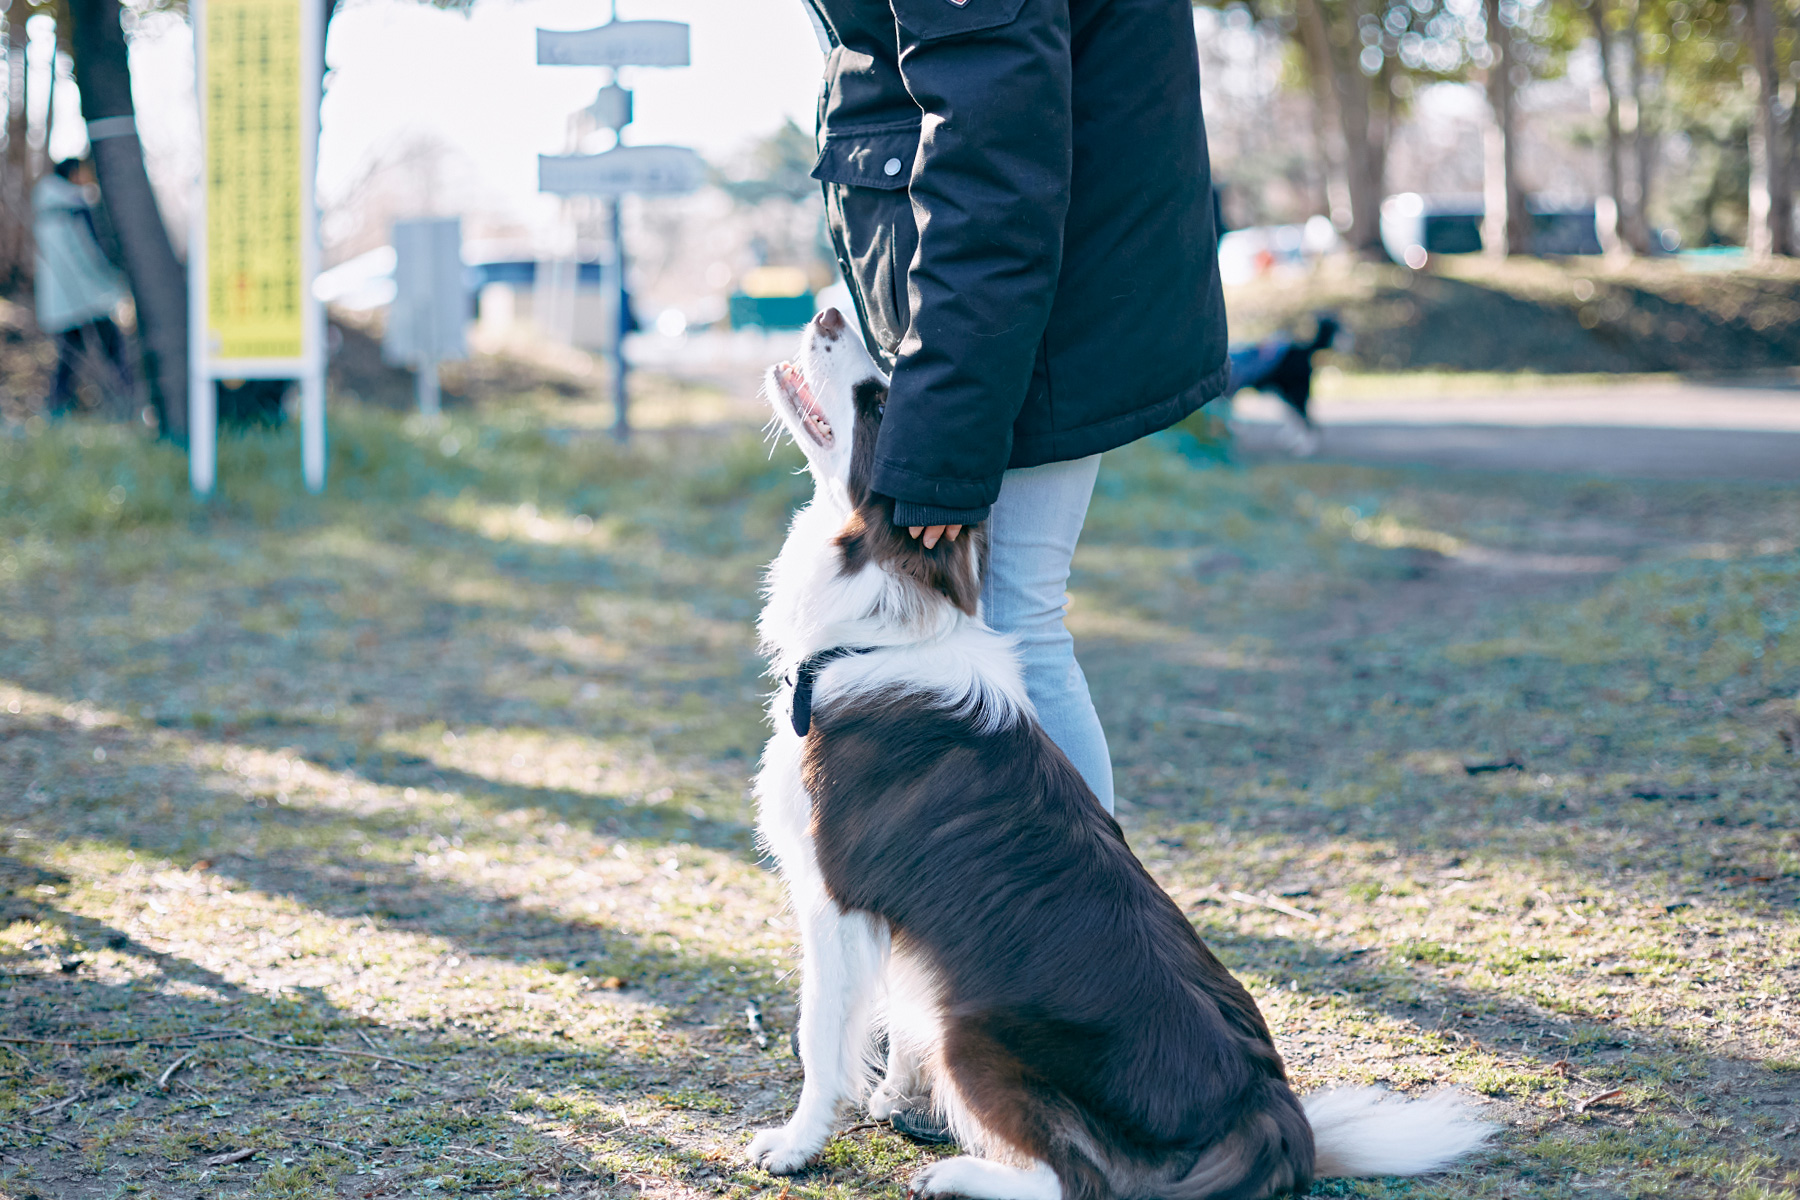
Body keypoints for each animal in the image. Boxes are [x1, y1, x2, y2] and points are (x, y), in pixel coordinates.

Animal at [745, 309, 1490, 1200]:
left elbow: (818, 1034)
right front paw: (894, 1097)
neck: (872, 626)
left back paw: (959, 1172)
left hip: (977, 1030)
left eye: (882, 399)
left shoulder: (836, 901)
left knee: (1079, 1181)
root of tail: (1270, 1119)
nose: (828, 313)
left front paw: (796, 1144)